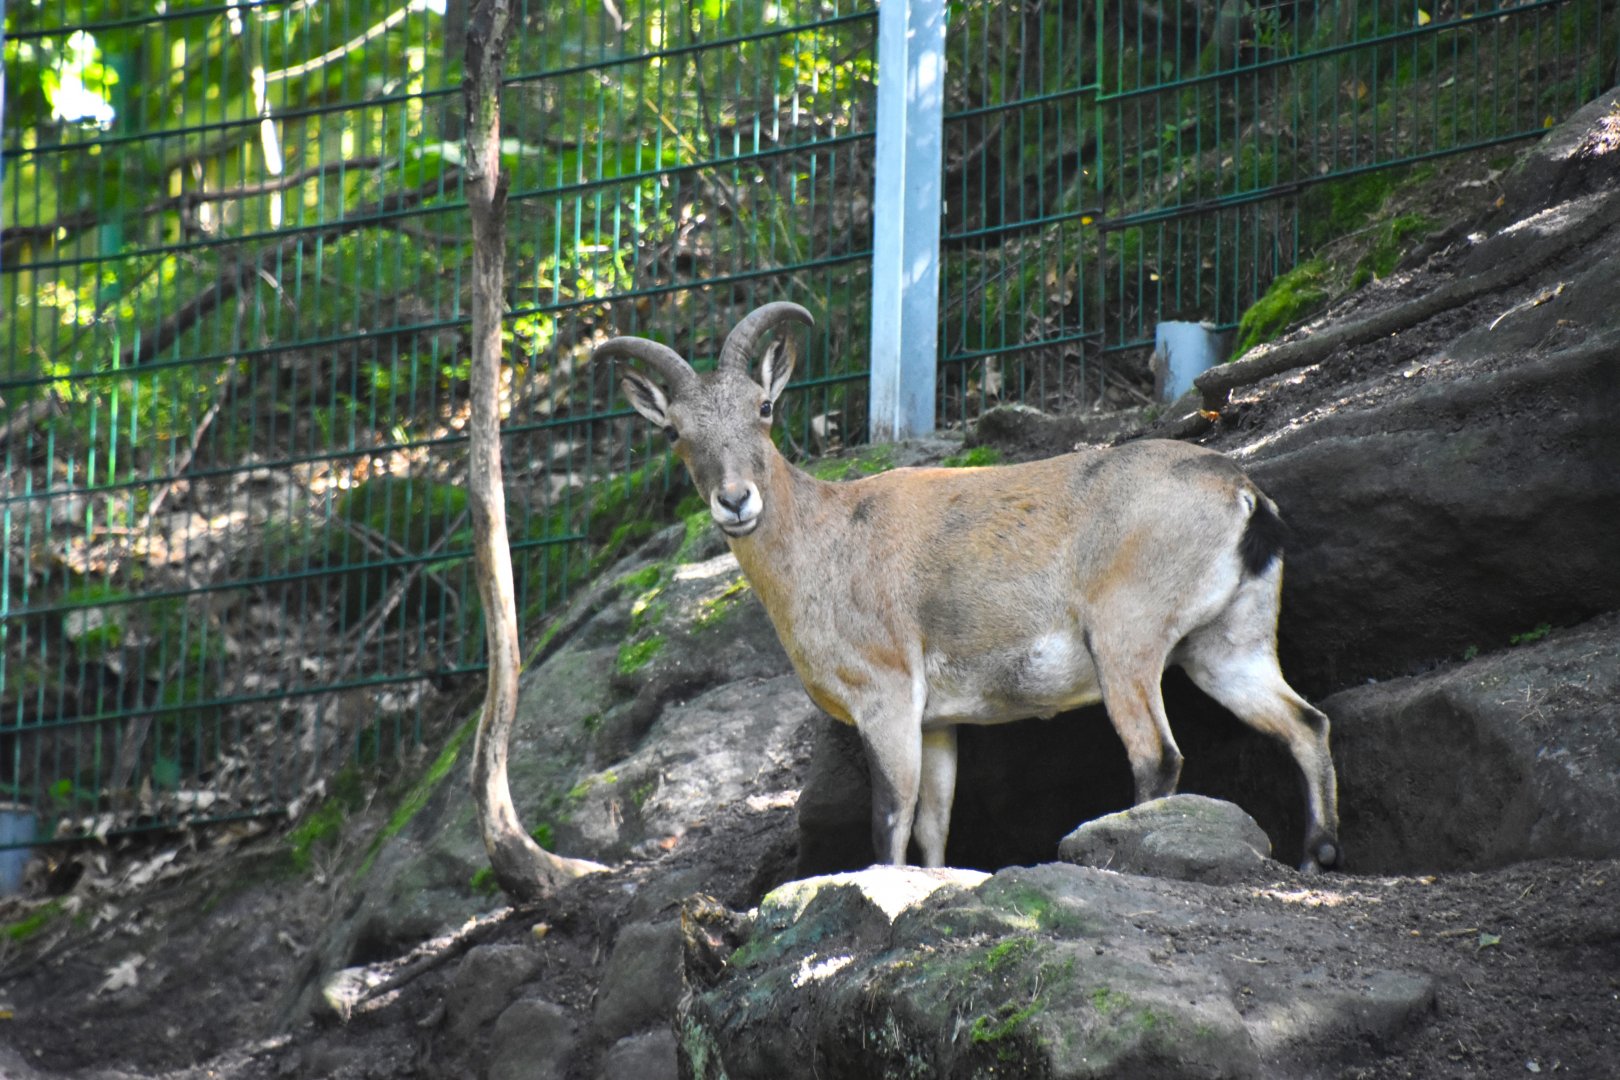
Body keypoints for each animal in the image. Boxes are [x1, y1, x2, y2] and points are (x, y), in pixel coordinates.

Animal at [595, 302, 1340, 872]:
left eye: (765, 406)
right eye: (675, 431)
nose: (734, 501)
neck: (824, 540)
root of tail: (1244, 495)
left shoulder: (887, 694)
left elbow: (890, 818)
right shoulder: (939, 720)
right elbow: (934, 822)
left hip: (1124, 637)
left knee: (1157, 753)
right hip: (1227, 643)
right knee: (1305, 721)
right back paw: (1317, 856)